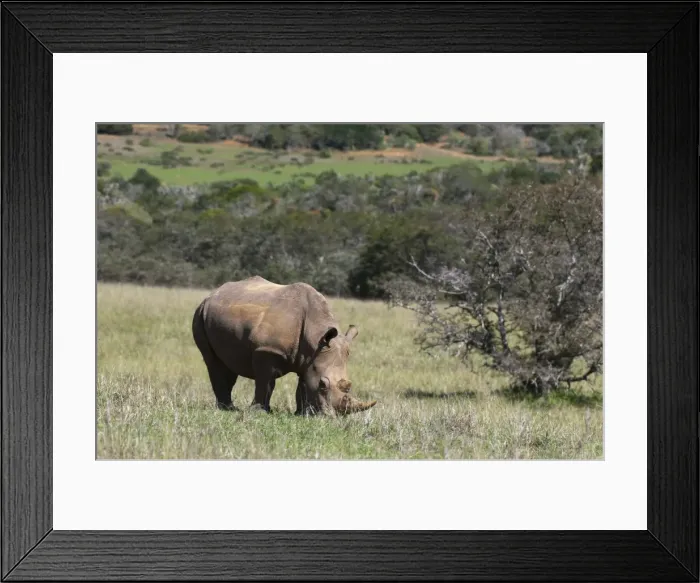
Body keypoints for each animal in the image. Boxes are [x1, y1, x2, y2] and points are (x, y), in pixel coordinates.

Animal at [192, 276, 377, 416]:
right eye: (323, 385)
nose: (332, 416)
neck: (315, 336)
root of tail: (212, 294)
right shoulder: (266, 350)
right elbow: (266, 382)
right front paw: (260, 411)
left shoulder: (309, 358)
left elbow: (303, 384)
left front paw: (302, 414)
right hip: (199, 314)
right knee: (214, 363)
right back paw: (227, 409)